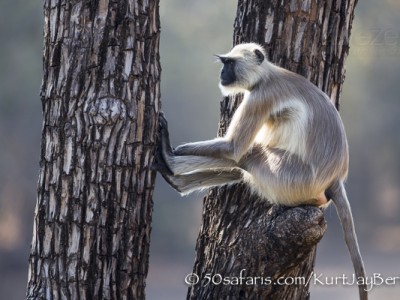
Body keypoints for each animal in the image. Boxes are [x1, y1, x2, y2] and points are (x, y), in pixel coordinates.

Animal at [155, 42, 368, 300]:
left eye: (229, 63)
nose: (222, 73)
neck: (267, 75)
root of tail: (335, 178)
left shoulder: (260, 96)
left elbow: (233, 148)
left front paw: (174, 150)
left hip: (291, 177)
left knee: (248, 154)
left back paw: (169, 161)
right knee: (241, 165)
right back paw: (177, 181)